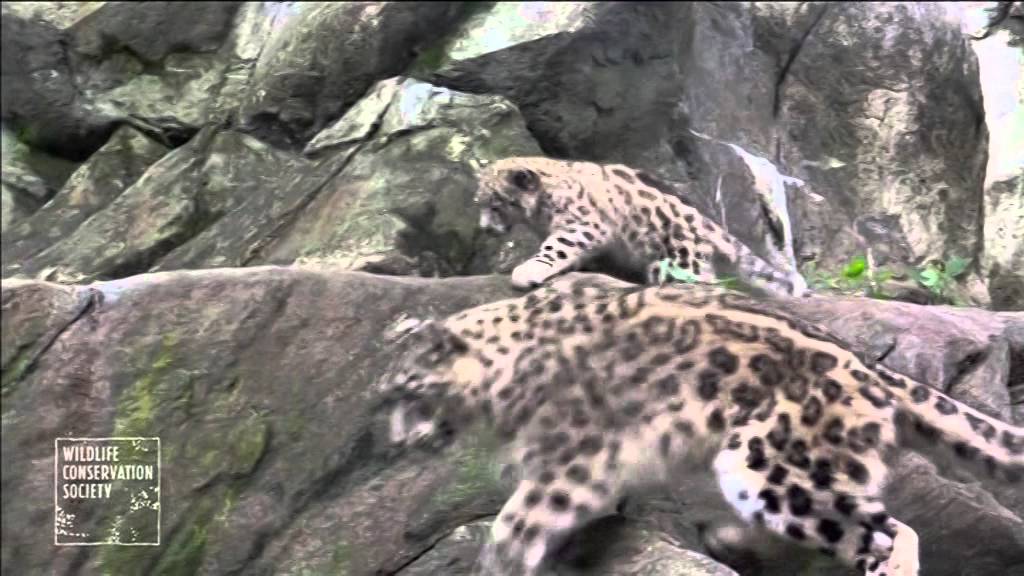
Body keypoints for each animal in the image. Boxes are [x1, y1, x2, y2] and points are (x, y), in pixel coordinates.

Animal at [380, 275, 1023, 576]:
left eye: (408, 392)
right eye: (385, 396)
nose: (398, 438)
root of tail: (871, 368)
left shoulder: (572, 460)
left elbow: (518, 522)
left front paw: (499, 563)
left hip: (770, 464)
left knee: (891, 531)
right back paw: (727, 539)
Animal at [474, 156, 808, 298]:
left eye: (495, 203)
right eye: (480, 202)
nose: (485, 229)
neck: (539, 218)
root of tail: (712, 227)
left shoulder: (581, 224)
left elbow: (556, 248)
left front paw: (528, 270)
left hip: (678, 262)